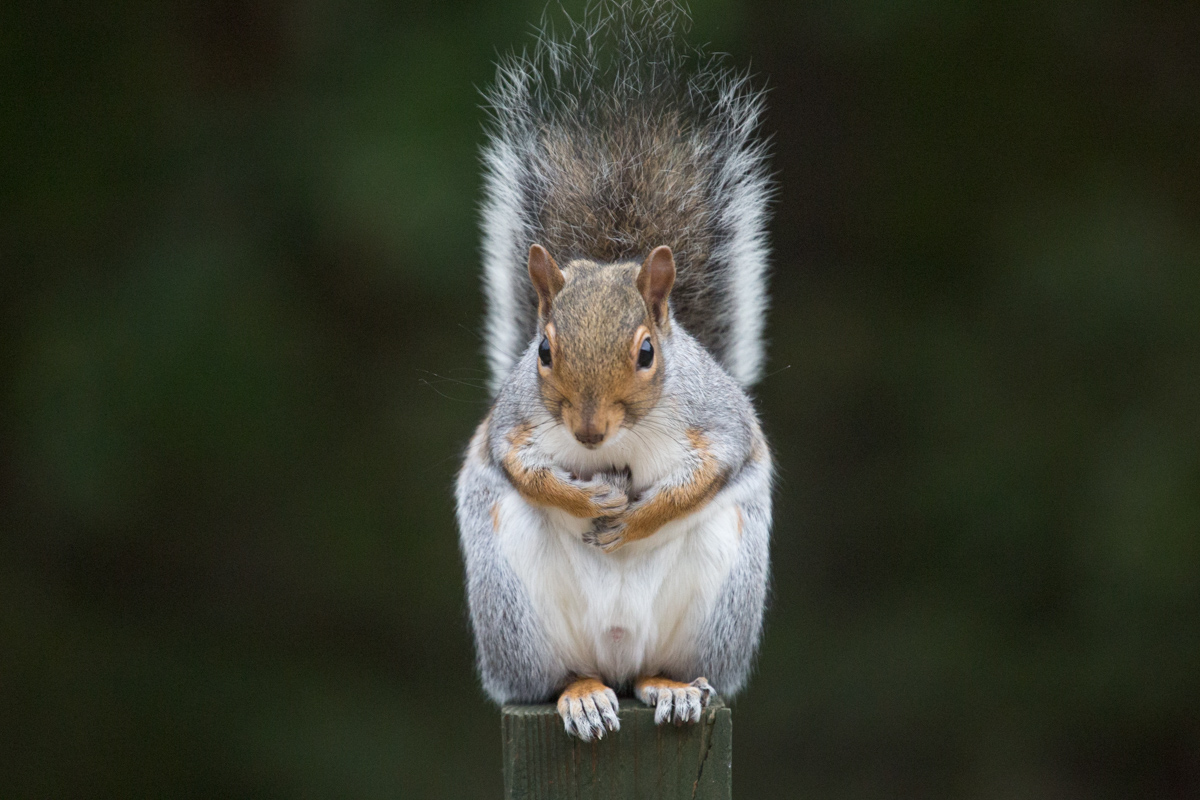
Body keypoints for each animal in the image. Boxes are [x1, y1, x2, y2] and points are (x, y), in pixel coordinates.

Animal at [455, 1, 773, 741]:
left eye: (647, 353)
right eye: (543, 352)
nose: (590, 433)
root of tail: (618, 657)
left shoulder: (717, 420)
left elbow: (712, 468)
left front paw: (634, 518)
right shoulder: (514, 422)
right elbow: (518, 464)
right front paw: (589, 500)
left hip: (720, 598)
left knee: (663, 668)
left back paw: (672, 688)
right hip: (515, 612)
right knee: (559, 677)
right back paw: (581, 696)